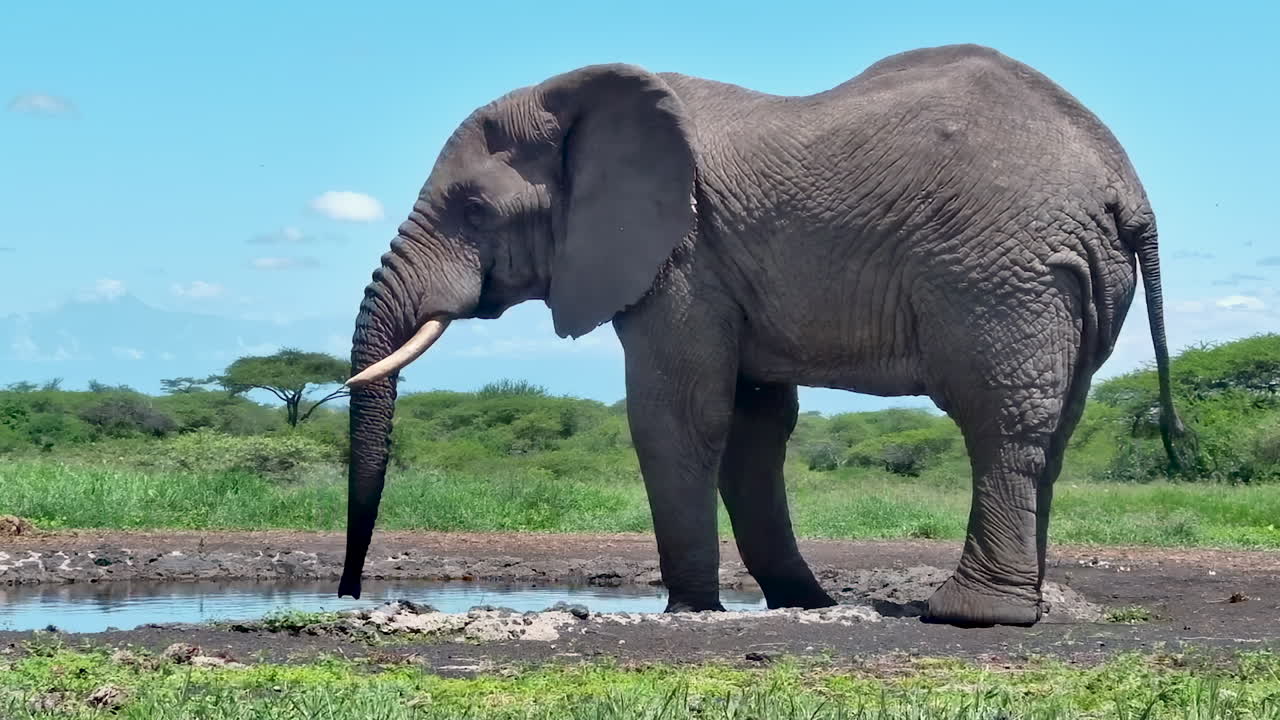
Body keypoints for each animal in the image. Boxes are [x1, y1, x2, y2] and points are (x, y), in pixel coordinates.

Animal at [336, 43, 1190, 627]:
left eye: (474, 210)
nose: (348, 596)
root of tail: (1126, 188)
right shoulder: (723, 262)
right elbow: (753, 422)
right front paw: (803, 603)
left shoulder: (683, 253)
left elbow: (677, 415)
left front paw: (690, 611)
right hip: (1074, 277)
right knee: (1057, 427)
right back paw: (1022, 604)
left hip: (1001, 272)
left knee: (999, 422)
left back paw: (971, 613)